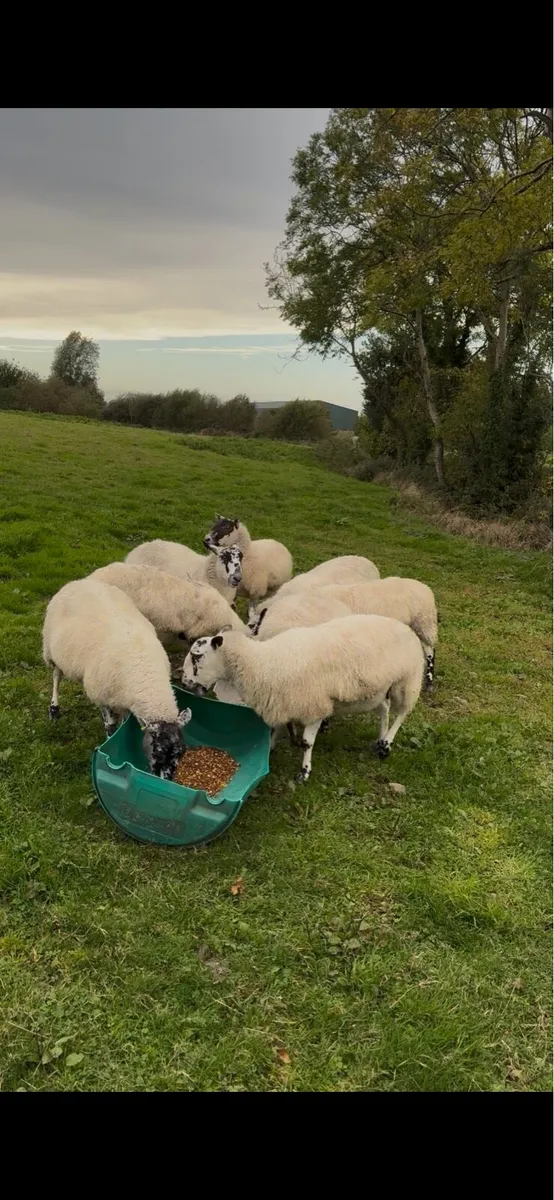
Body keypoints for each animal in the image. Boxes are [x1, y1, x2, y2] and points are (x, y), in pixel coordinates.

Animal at [42, 578, 191, 778]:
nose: (166, 779)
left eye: (181, 752)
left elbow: (123, 722)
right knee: (56, 677)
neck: (145, 671)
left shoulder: (125, 699)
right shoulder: (101, 694)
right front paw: (110, 740)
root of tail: (80, 581)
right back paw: (54, 710)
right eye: (157, 751)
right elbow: (110, 725)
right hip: (51, 649)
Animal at [182, 614, 424, 782]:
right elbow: (275, 731)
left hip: (407, 680)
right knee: (384, 709)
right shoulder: (283, 702)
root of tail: (405, 627)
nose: (185, 684)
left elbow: (308, 743)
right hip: (377, 690)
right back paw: (380, 740)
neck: (262, 663)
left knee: (402, 713)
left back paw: (386, 745)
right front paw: (269, 750)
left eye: (197, 657)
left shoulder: (315, 707)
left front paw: (304, 772)